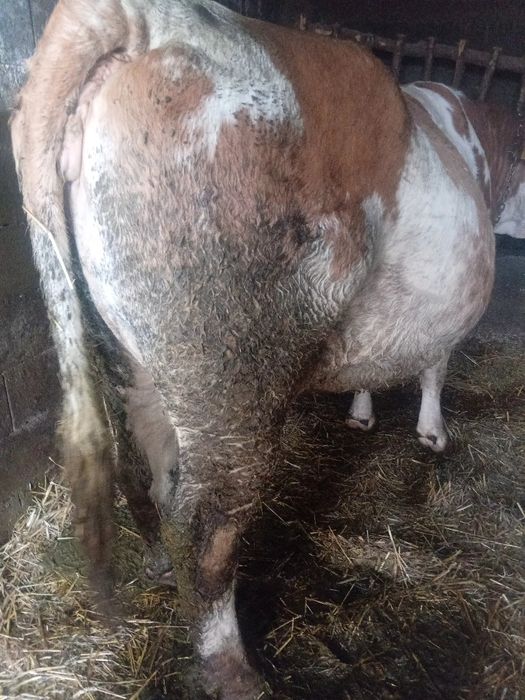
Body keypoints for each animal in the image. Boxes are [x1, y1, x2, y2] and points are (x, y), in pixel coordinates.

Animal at [10, 1, 494, 698]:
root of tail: (140, 20)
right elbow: (436, 363)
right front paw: (430, 432)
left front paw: (366, 413)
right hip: (232, 364)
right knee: (204, 526)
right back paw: (236, 672)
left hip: (127, 353)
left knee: (145, 469)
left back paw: (157, 567)